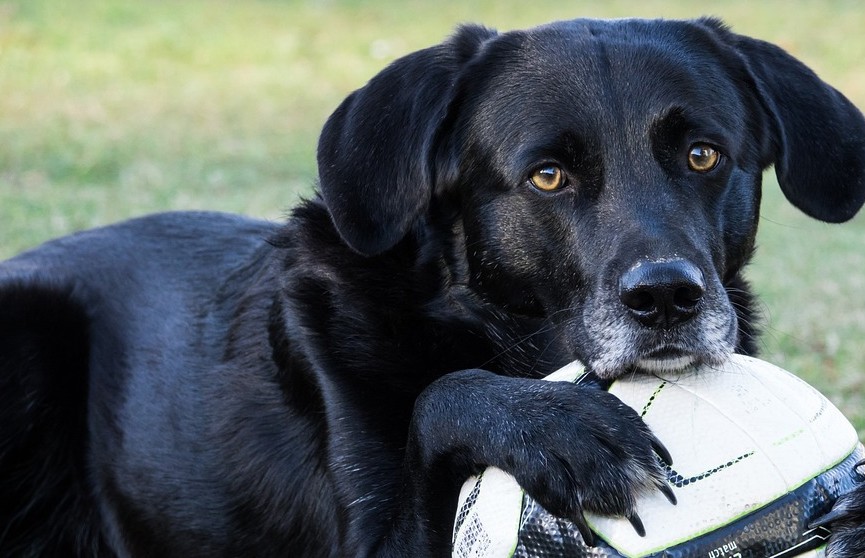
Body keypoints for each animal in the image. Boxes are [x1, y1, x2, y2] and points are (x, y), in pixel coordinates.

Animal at [1, 15, 864, 556]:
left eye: (701, 155)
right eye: (547, 175)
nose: (665, 300)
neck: (480, 329)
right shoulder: (375, 536)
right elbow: (438, 396)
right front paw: (560, 430)